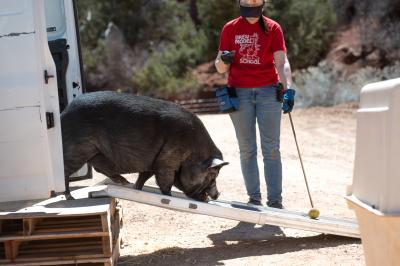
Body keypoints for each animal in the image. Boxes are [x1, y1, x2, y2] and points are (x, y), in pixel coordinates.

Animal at [60, 91, 228, 202]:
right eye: (212, 175)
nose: (216, 195)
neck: (193, 152)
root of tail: (64, 112)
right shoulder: (167, 160)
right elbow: (165, 181)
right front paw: (168, 197)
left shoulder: (153, 162)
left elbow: (144, 176)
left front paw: (137, 189)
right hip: (78, 149)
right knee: (66, 171)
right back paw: (70, 198)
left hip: (96, 152)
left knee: (99, 167)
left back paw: (124, 183)